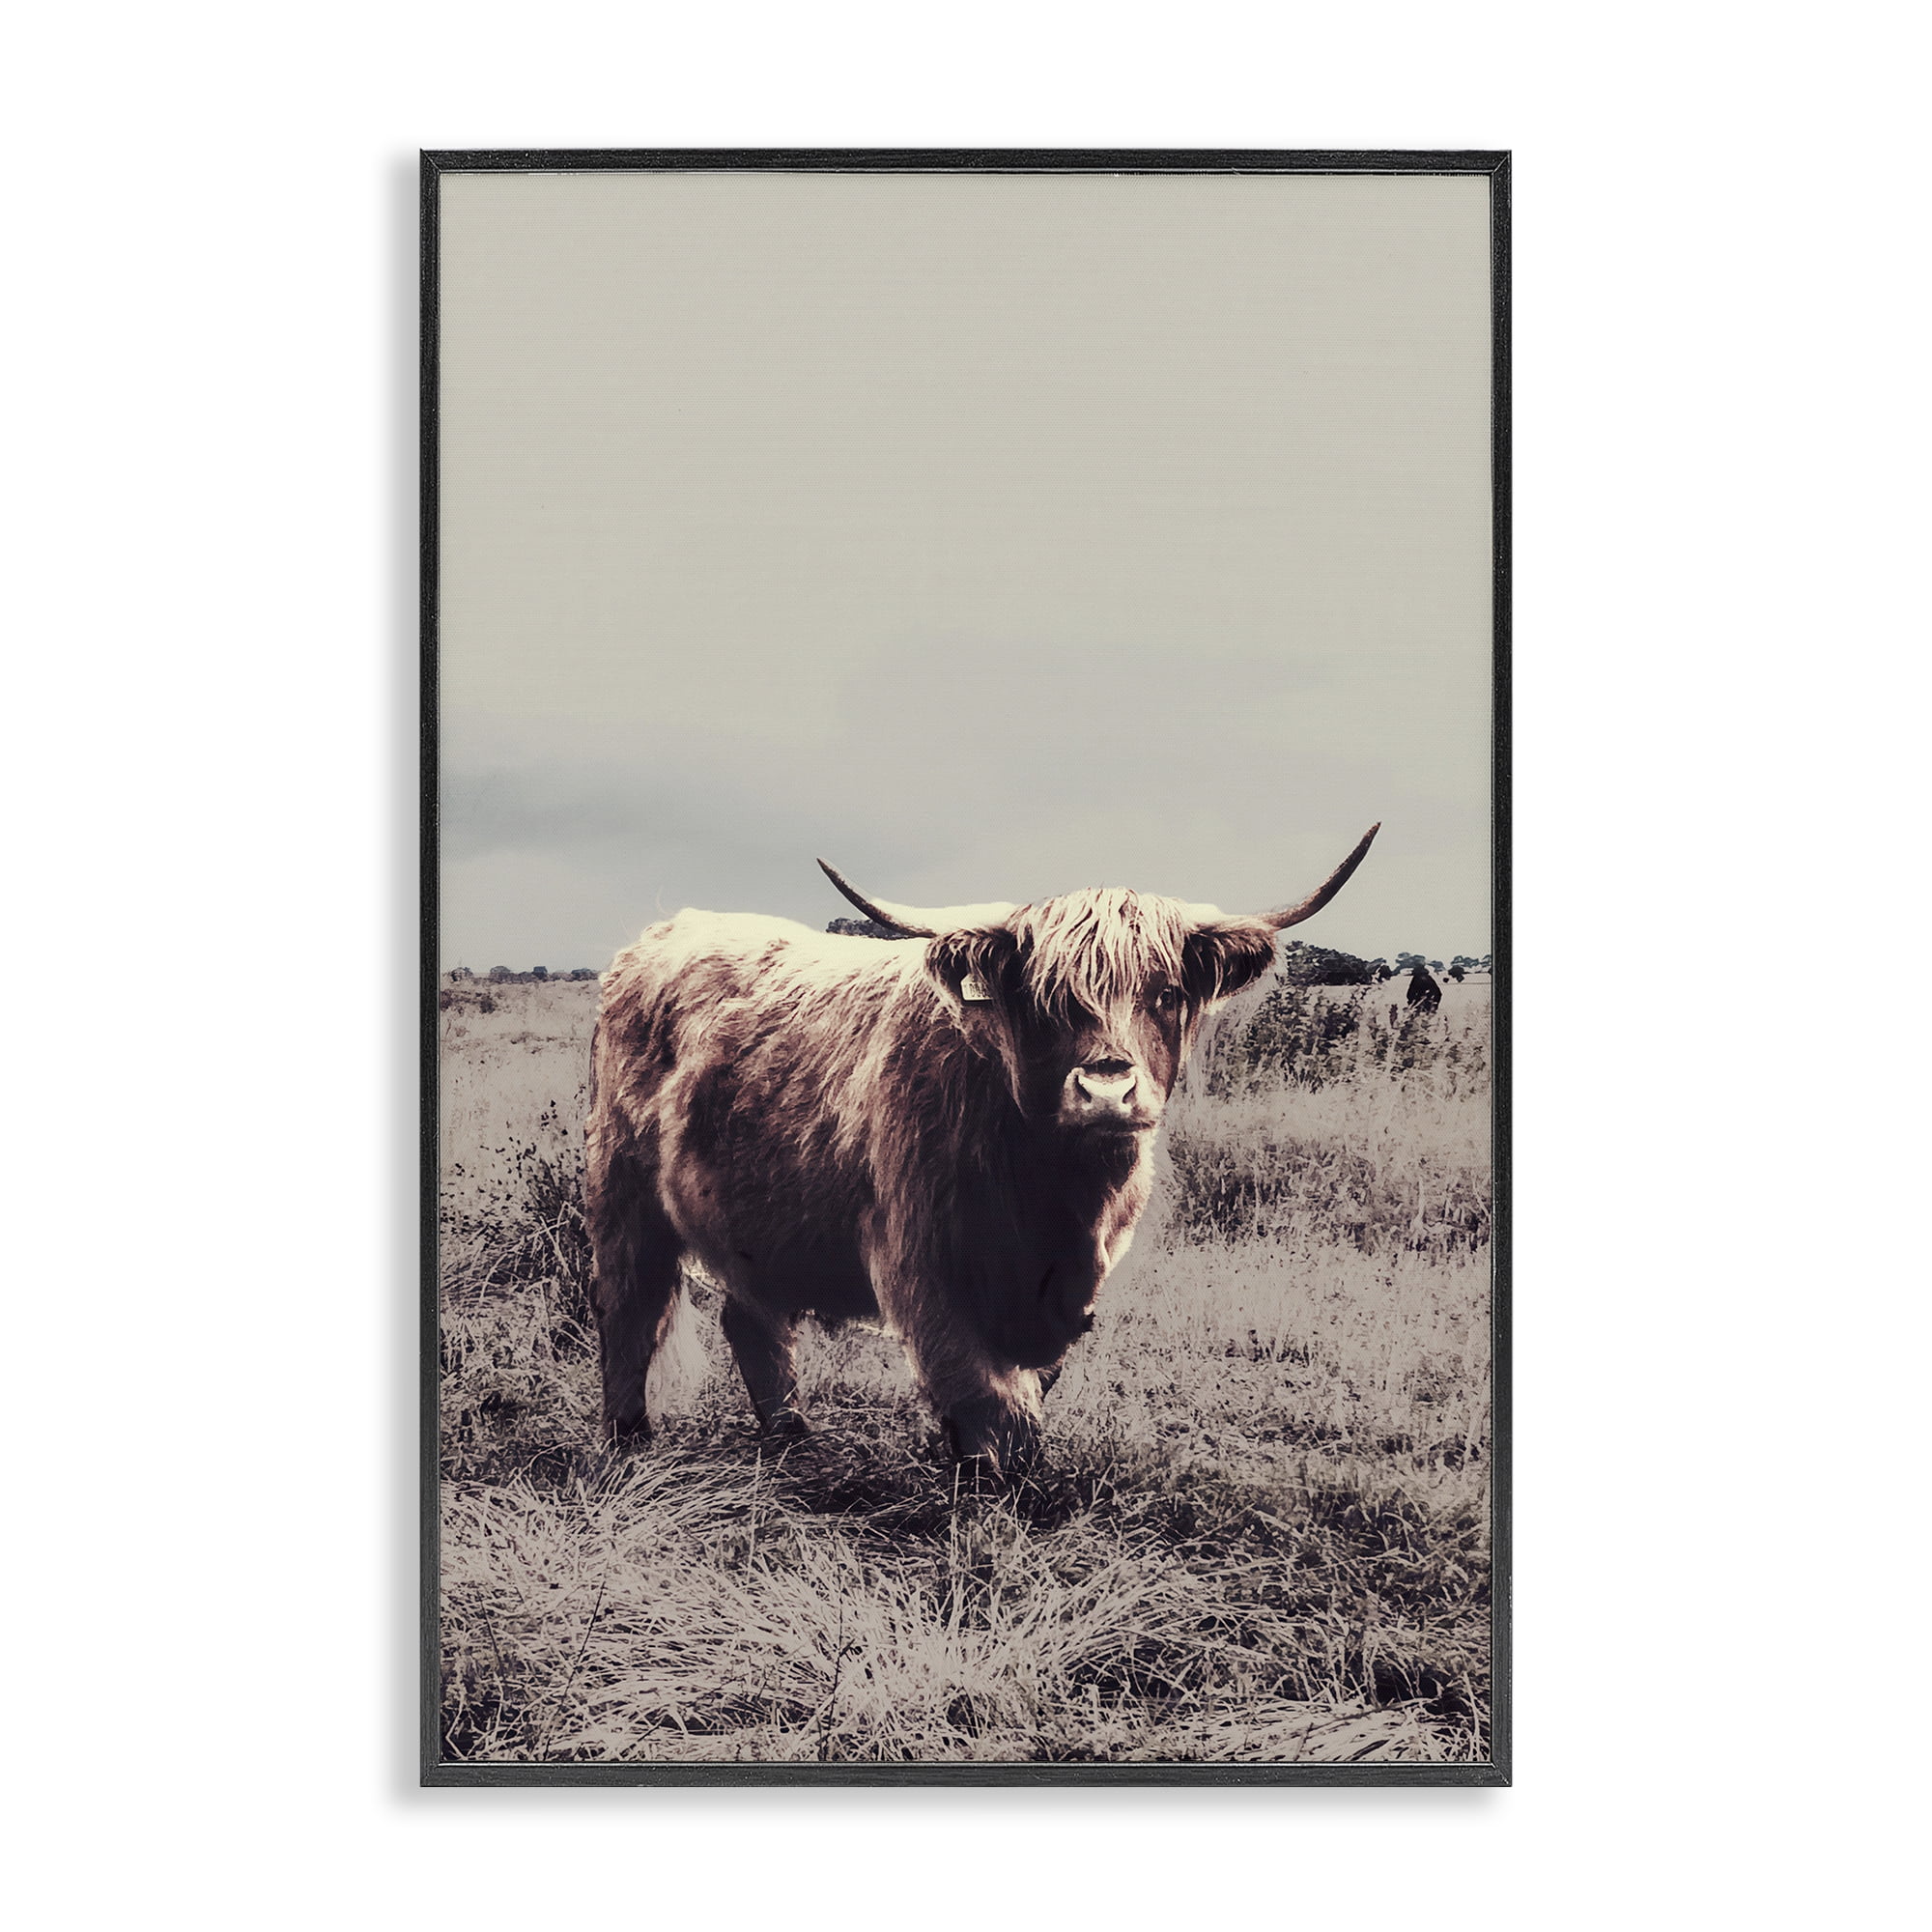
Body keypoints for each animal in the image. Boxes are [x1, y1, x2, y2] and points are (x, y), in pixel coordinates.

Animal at [584, 826, 1379, 1474]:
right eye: (1044, 1001)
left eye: (1166, 993)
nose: (1107, 1090)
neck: (1053, 1195)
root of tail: (662, 934)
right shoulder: (922, 1264)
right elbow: (986, 1395)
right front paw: (992, 1490)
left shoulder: (1070, 1288)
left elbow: (1028, 1386)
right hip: (623, 1194)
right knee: (628, 1308)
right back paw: (629, 1440)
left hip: (752, 1219)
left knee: (751, 1319)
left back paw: (791, 1438)